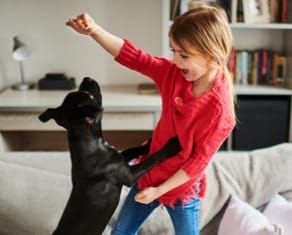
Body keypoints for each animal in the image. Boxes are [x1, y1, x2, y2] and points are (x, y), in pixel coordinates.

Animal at [38, 77, 180, 235]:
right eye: (89, 95)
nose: (87, 78)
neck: (93, 144)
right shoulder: (129, 175)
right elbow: (152, 159)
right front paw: (171, 147)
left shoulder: (121, 157)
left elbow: (134, 149)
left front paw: (148, 144)